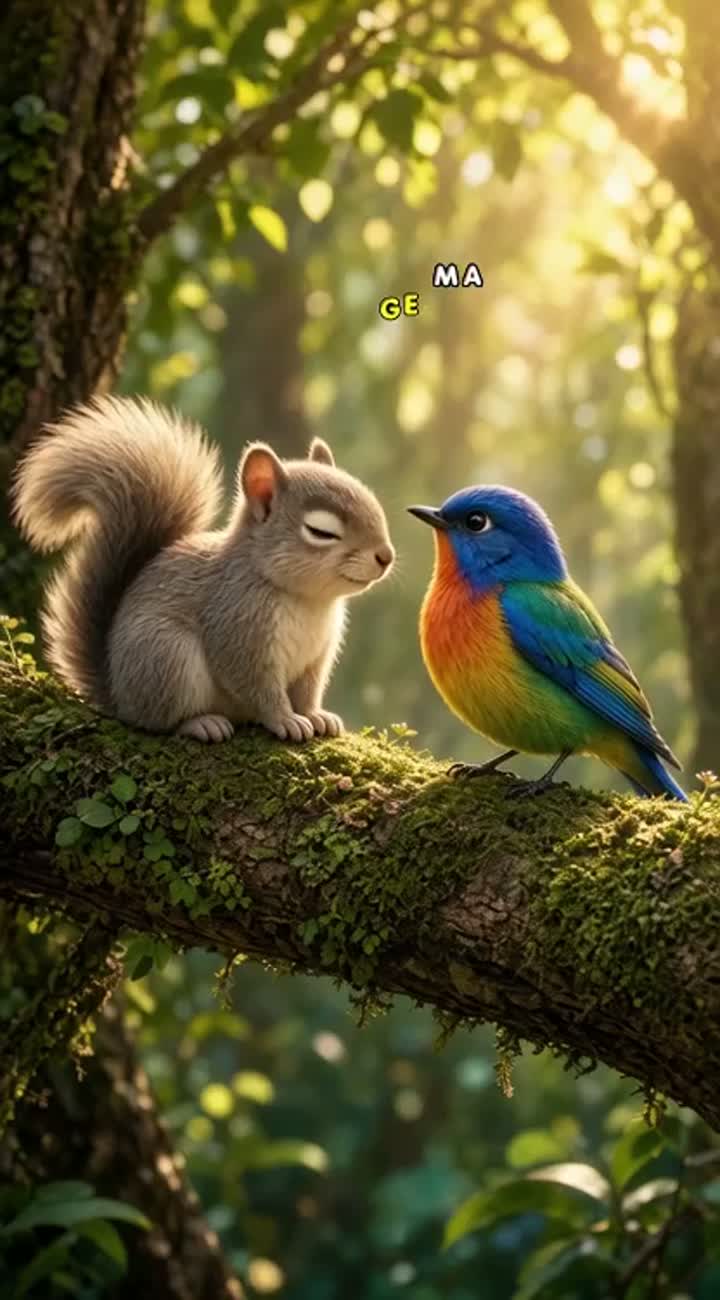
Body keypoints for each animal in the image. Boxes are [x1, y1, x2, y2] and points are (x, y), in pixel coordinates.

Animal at [12, 395, 395, 743]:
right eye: (321, 532)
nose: (386, 556)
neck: (306, 599)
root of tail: (118, 695)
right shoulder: (237, 630)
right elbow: (259, 689)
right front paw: (286, 721)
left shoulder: (317, 656)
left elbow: (308, 691)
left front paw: (317, 716)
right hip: (167, 658)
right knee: (159, 721)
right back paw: (200, 724)